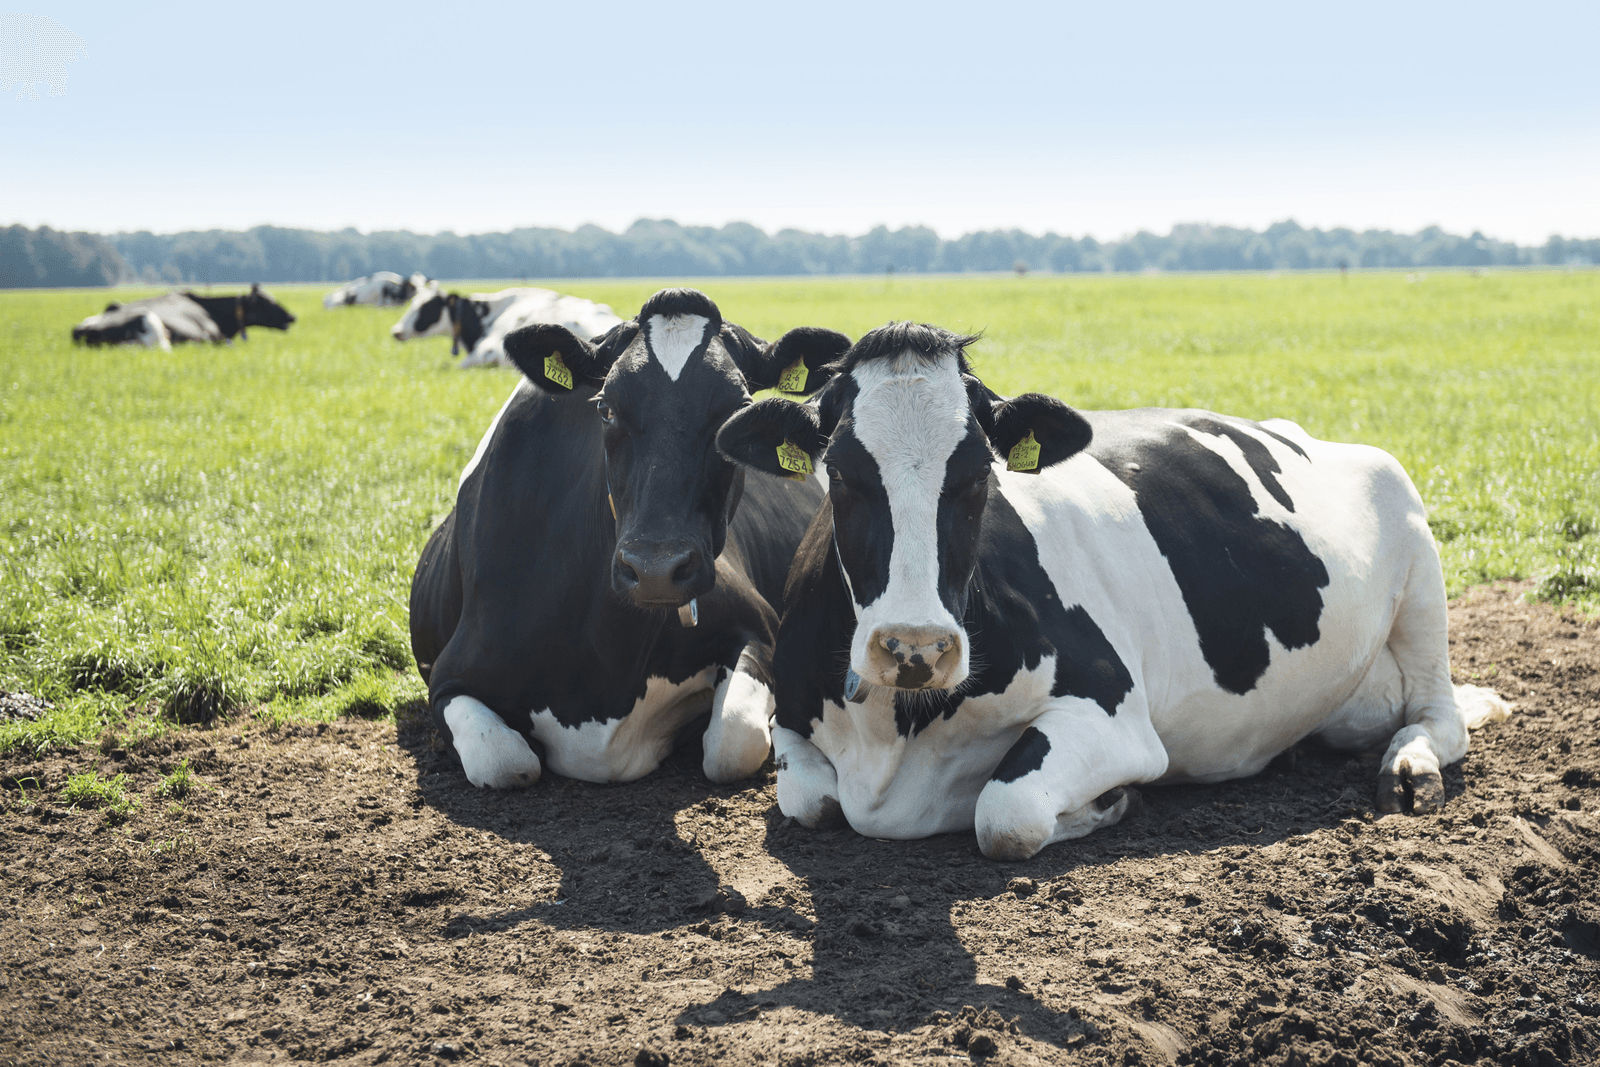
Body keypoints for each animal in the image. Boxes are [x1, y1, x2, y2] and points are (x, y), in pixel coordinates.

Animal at [409, 288, 851, 789]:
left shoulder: (760, 627)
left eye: (735, 411)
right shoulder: (449, 678)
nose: (655, 569)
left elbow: (733, 742)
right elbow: (505, 761)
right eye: (606, 408)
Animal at [715, 322, 1511, 861]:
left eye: (977, 475)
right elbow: (811, 799)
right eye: (844, 475)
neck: (897, 731)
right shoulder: (790, 712)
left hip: (1416, 543)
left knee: (1440, 715)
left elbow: (1005, 814)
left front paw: (1107, 805)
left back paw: (1409, 765)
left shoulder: (1112, 714)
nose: (916, 647)